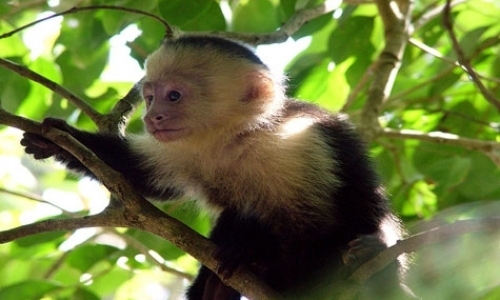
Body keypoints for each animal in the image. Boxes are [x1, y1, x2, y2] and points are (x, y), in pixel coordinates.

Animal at [20, 35, 410, 300]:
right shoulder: (182, 149)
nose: (151, 116)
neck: (235, 139)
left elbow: (317, 227)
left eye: (174, 96)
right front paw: (56, 140)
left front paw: (256, 255)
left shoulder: (300, 142)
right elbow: (139, 174)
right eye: (150, 97)